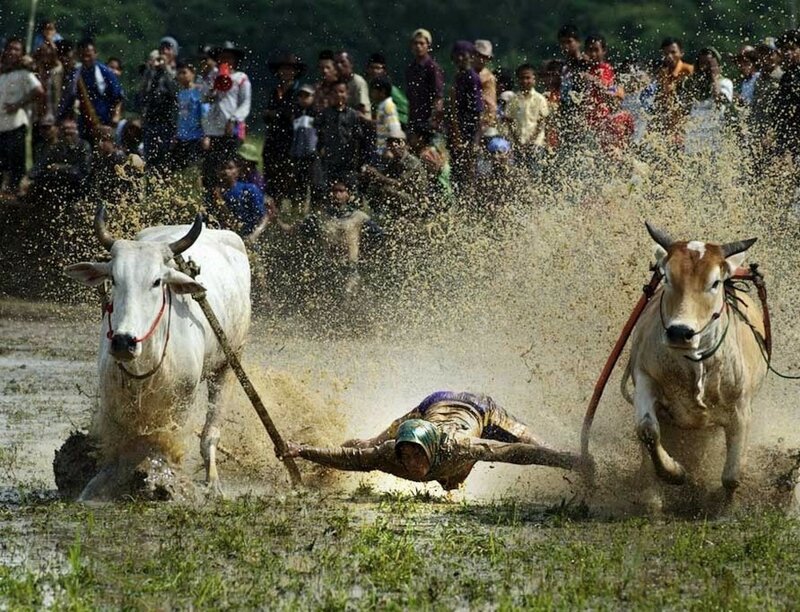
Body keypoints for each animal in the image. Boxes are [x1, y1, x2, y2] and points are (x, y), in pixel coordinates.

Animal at [63, 208, 250, 500]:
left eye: (156, 281)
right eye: (114, 279)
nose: (123, 342)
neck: (145, 363)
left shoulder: (181, 401)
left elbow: (165, 442)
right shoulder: (113, 399)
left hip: (230, 362)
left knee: (210, 433)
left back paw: (213, 484)